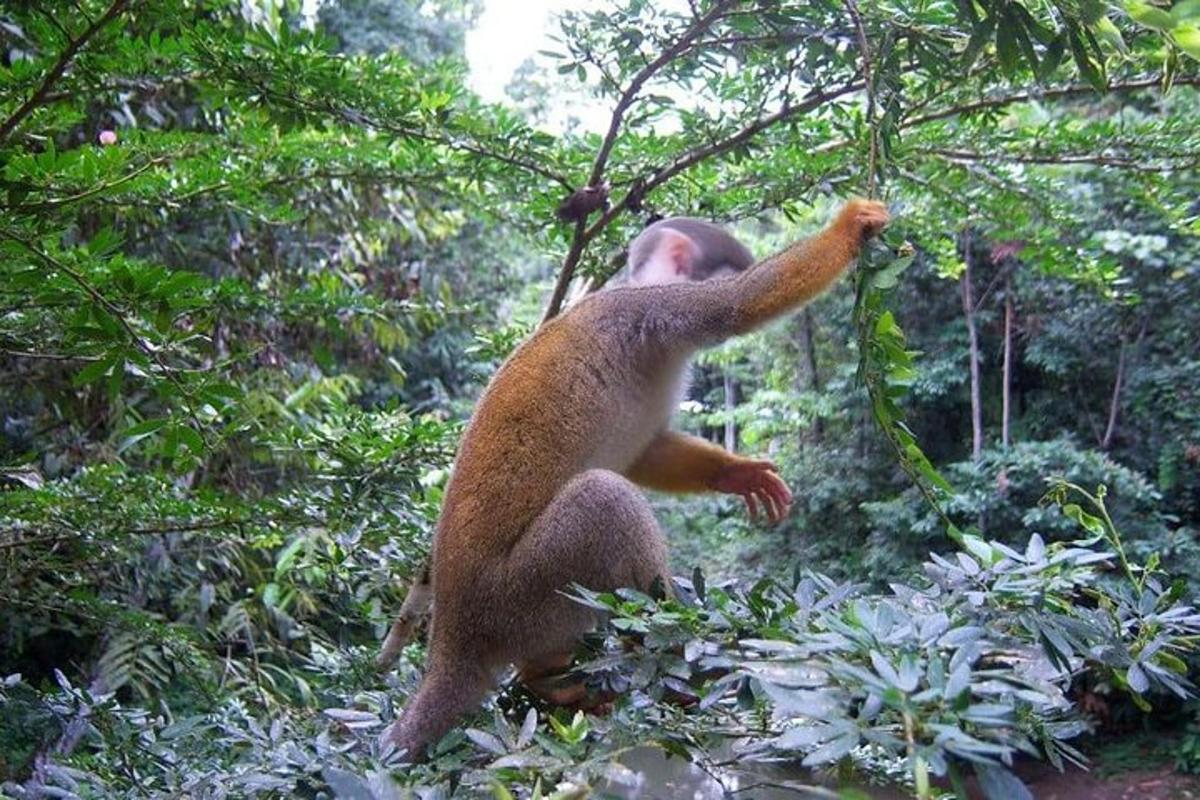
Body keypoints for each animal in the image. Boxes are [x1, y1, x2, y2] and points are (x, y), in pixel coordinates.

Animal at [384, 199, 892, 758]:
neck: (630, 287)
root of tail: (452, 644)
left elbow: (647, 451)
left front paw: (734, 473)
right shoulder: (654, 309)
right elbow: (740, 304)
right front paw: (849, 226)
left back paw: (550, 680)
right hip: (517, 598)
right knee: (603, 498)